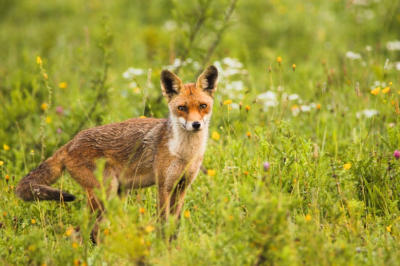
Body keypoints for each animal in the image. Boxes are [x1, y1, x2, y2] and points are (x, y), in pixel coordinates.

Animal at [15, 65, 219, 243]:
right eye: (182, 108)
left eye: (203, 106)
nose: (195, 125)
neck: (184, 153)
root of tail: (70, 142)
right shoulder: (163, 187)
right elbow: (162, 225)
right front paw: (163, 250)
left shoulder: (182, 187)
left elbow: (174, 226)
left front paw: (173, 248)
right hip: (105, 193)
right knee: (79, 231)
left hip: (117, 195)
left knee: (90, 231)